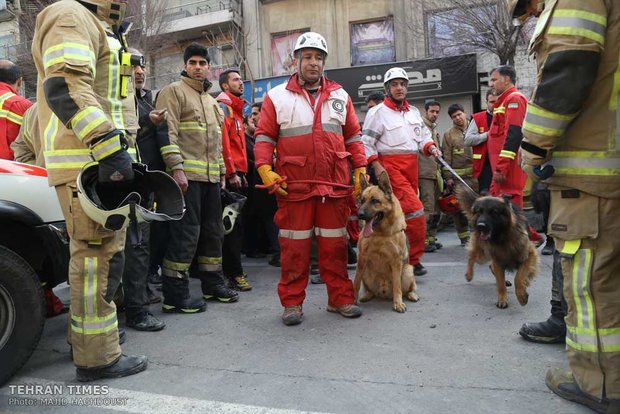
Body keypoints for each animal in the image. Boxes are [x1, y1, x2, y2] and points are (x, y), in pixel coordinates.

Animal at [352, 170, 418, 312]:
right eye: (362, 200)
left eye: (375, 201)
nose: (359, 215)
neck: (380, 234)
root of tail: (383, 293)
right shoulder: (362, 259)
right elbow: (356, 282)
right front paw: (352, 300)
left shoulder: (396, 261)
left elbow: (397, 286)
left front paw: (398, 303)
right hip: (365, 271)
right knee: (369, 290)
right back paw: (367, 295)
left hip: (407, 270)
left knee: (408, 289)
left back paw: (412, 295)